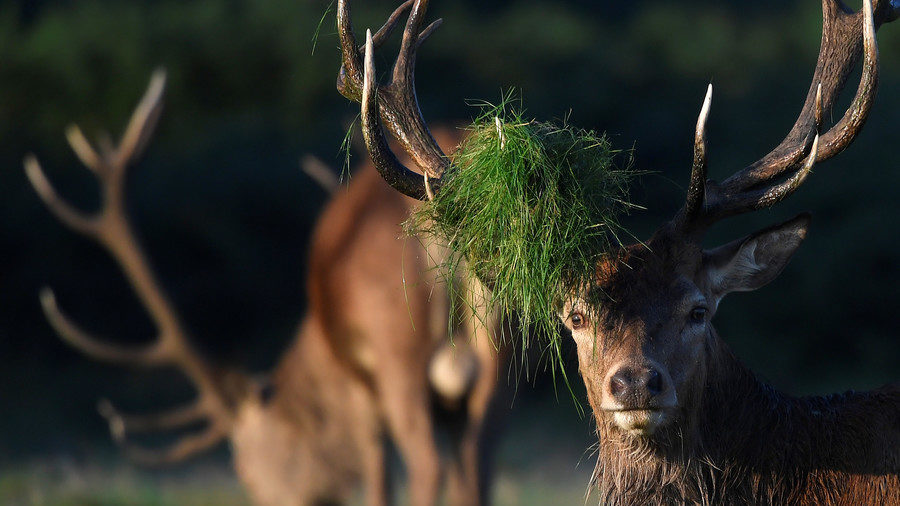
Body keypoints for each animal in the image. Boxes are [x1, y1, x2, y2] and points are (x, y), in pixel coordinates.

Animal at [25, 70, 506, 506]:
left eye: (245, 471)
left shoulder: (362, 390)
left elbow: (379, 483)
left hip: (397, 344)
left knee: (428, 465)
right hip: (498, 345)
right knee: (477, 467)